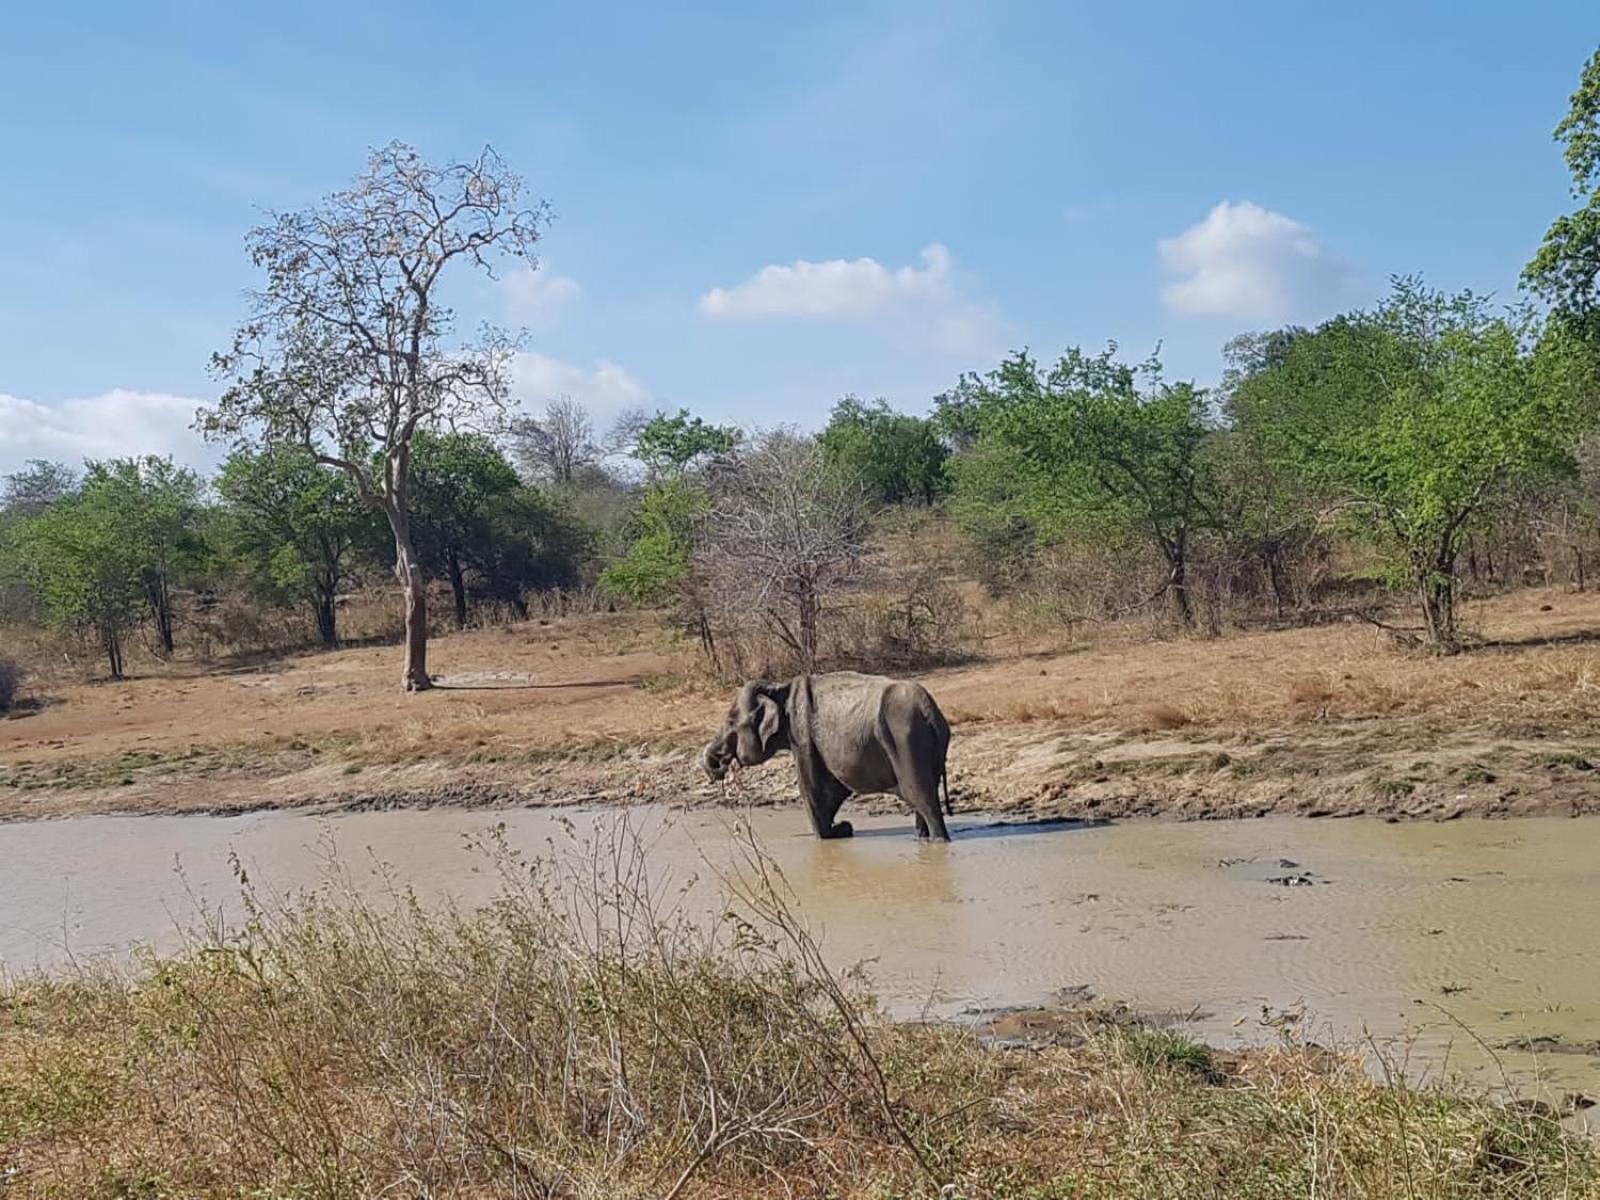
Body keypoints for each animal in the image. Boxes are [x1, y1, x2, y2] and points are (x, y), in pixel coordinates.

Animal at [697, 672, 947, 838]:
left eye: (731, 722)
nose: (719, 765)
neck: (780, 689)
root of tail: (929, 710)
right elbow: (836, 787)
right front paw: (840, 830)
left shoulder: (803, 736)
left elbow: (812, 787)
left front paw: (829, 834)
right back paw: (921, 839)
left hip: (906, 743)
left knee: (922, 799)